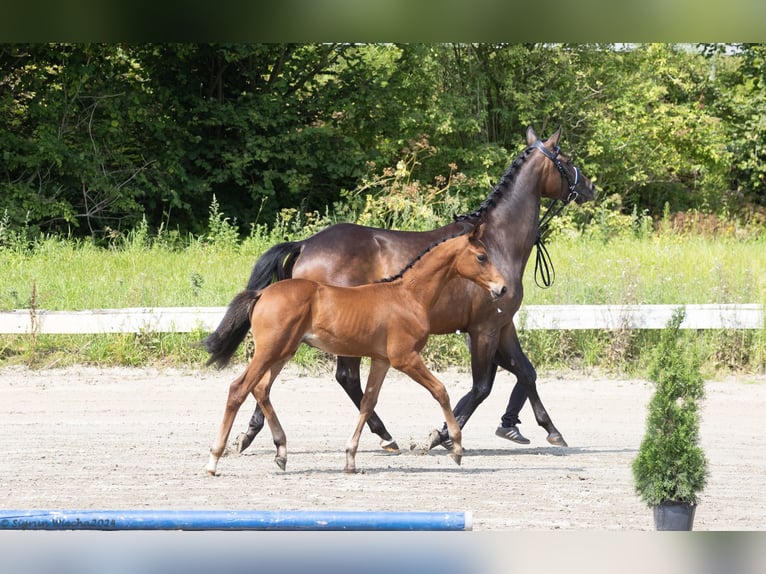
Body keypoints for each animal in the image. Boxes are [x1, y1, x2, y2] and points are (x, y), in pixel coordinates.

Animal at [204, 225, 508, 476]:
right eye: (481, 257)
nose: (502, 288)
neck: (409, 295)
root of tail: (262, 294)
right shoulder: (405, 358)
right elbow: (441, 391)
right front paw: (455, 447)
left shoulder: (381, 360)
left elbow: (367, 402)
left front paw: (351, 458)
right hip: (270, 351)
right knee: (239, 388)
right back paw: (214, 460)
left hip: (283, 352)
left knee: (261, 389)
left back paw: (281, 452)